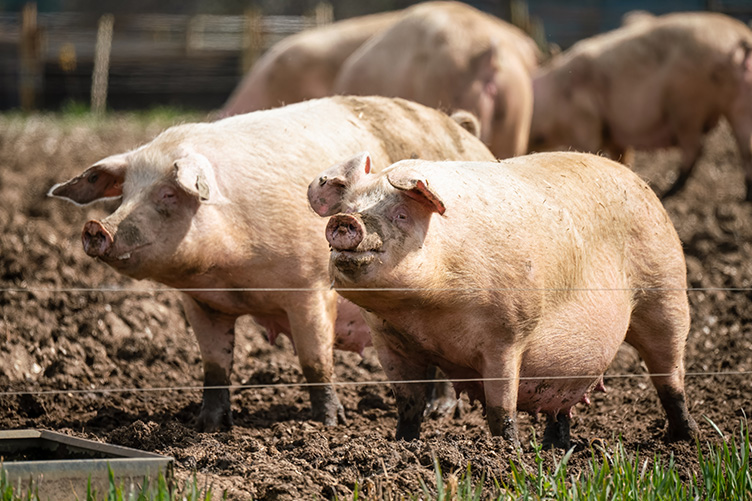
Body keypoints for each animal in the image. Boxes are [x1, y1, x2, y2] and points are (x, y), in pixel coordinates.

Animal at [48, 95, 495, 432]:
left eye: (168, 194)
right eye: (124, 193)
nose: (97, 227)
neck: (232, 275)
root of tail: (467, 132)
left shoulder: (310, 288)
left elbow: (315, 362)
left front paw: (330, 424)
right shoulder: (200, 303)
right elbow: (215, 366)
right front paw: (206, 426)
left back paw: (441, 413)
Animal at [308, 150, 699, 448]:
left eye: (401, 214)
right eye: (349, 205)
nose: (345, 220)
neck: (423, 312)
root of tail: (641, 182)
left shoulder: (508, 336)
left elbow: (501, 410)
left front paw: (507, 452)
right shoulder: (390, 341)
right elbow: (408, 404)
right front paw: (403, 444)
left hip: (666, 294)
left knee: (670, 377)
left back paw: (685, 440)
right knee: (562, 403)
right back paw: (556, 448)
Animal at [529, 12, 752, 201]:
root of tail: (739, 38)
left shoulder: (585, 121)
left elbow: (588, 150)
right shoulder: (614, 133)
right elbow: (622, 157)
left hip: (687, 105)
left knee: (695, 148)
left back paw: (668, 194)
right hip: (740, 102)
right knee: (745, 147)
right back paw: (747, 196)